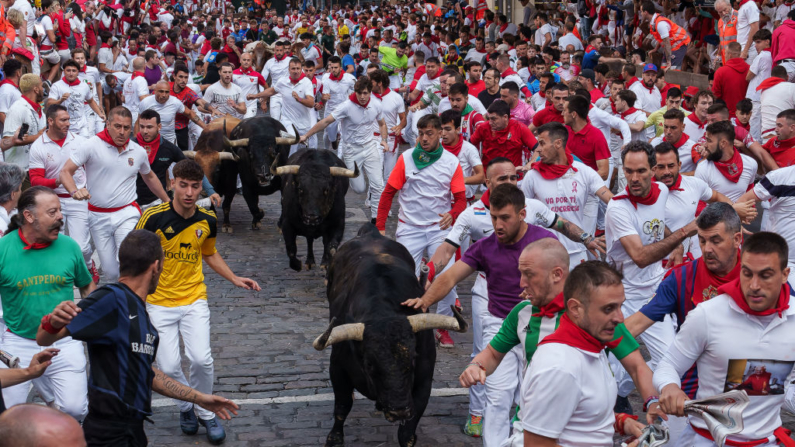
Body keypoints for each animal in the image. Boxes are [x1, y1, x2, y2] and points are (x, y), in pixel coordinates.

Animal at [314, 224, 470, 447]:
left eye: (413, 358)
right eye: (369, 363)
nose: (399, 411)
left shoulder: (424, 380)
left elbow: (407, 432)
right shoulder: (337, 368)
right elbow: (342, 407)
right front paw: (334, 438)